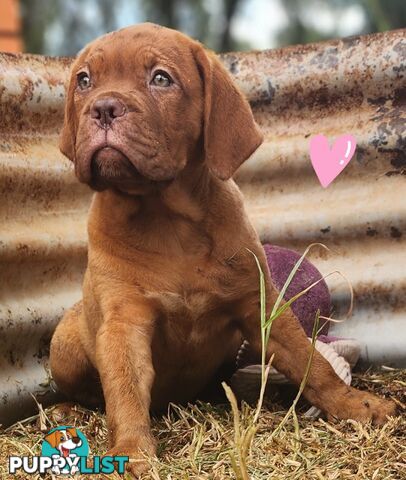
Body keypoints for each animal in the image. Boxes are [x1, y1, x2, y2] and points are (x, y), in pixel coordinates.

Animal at [50, 23, 396, 480]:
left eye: (161, 78)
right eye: (84, 81)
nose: (103, 107)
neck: (166, 219)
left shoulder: (259, 305)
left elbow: (310, 362)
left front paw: (356, 404)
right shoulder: (122, 323)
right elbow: (124, 391)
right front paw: (132, 452)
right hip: (67, 344)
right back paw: (66, 410)